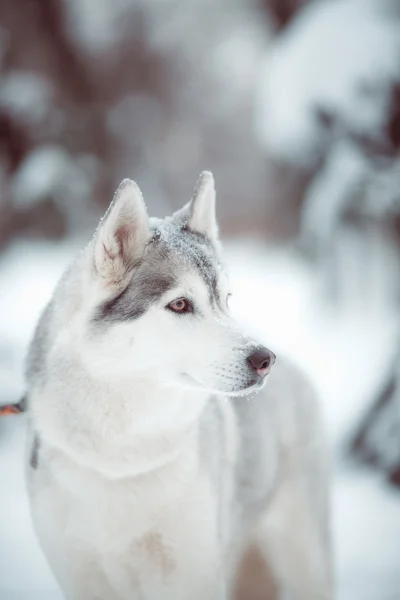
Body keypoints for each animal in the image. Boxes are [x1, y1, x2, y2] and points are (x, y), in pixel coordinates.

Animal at [24, 171, 332, 596]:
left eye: (226, 299)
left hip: (303, 564)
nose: (265, 360)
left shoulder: (191, 574)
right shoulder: (81, 579)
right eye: (180, 304)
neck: (121, 461)